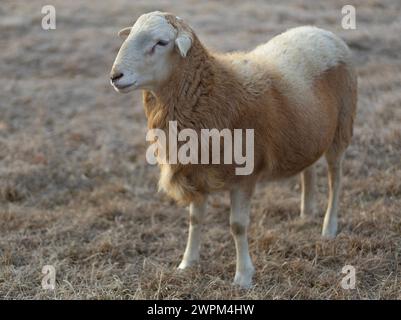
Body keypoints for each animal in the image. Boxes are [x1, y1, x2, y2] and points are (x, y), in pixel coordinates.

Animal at [109, 11, 356, 288]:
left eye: (161, 42)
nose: (115, 76)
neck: (216, 91)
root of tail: (321, 32)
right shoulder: (196, 170)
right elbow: (195, 220)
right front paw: (187, 263)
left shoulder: (244, 177)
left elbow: (237, 225)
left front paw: (243, 276)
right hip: (307, 133)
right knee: (308, 169)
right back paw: (306, 213)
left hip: (341, 128)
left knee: (336, 179)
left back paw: (329, 227)